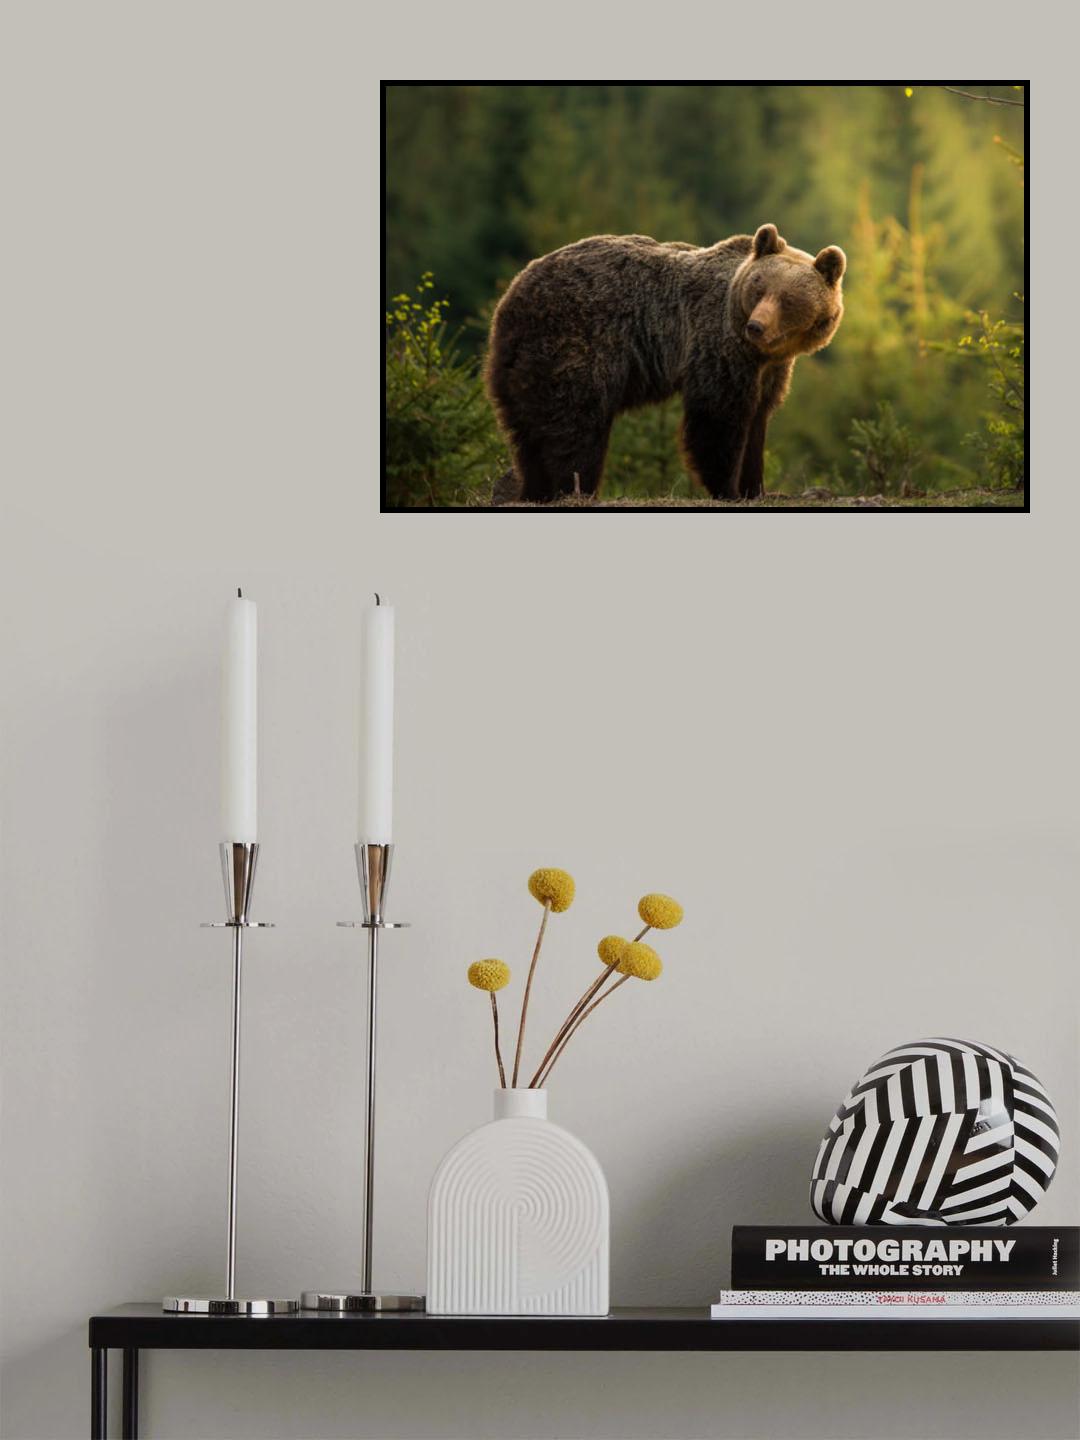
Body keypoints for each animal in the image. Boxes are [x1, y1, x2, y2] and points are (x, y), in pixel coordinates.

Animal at [485, 224, 845, 503]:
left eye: (788, 299)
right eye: (759, 288)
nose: (756, 326)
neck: (761, 352)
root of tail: (511, 296)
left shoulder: (770, 369)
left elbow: (758, 419)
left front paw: (756, 488)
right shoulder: (717, 344)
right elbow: (718, 416)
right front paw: (728, 489)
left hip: (523, 364)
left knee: (528, 431)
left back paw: (534, 489)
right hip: (576, 344)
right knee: (577, 425)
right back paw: (576, 489)